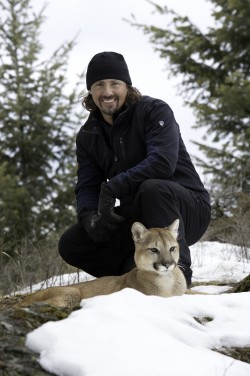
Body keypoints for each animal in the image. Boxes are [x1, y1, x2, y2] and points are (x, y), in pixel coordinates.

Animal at [19, 219, 188, 310]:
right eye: (154, 249)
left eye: (172, 248)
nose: (168, 264)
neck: (168, 282)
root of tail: (25, 298)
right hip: (72, 291)